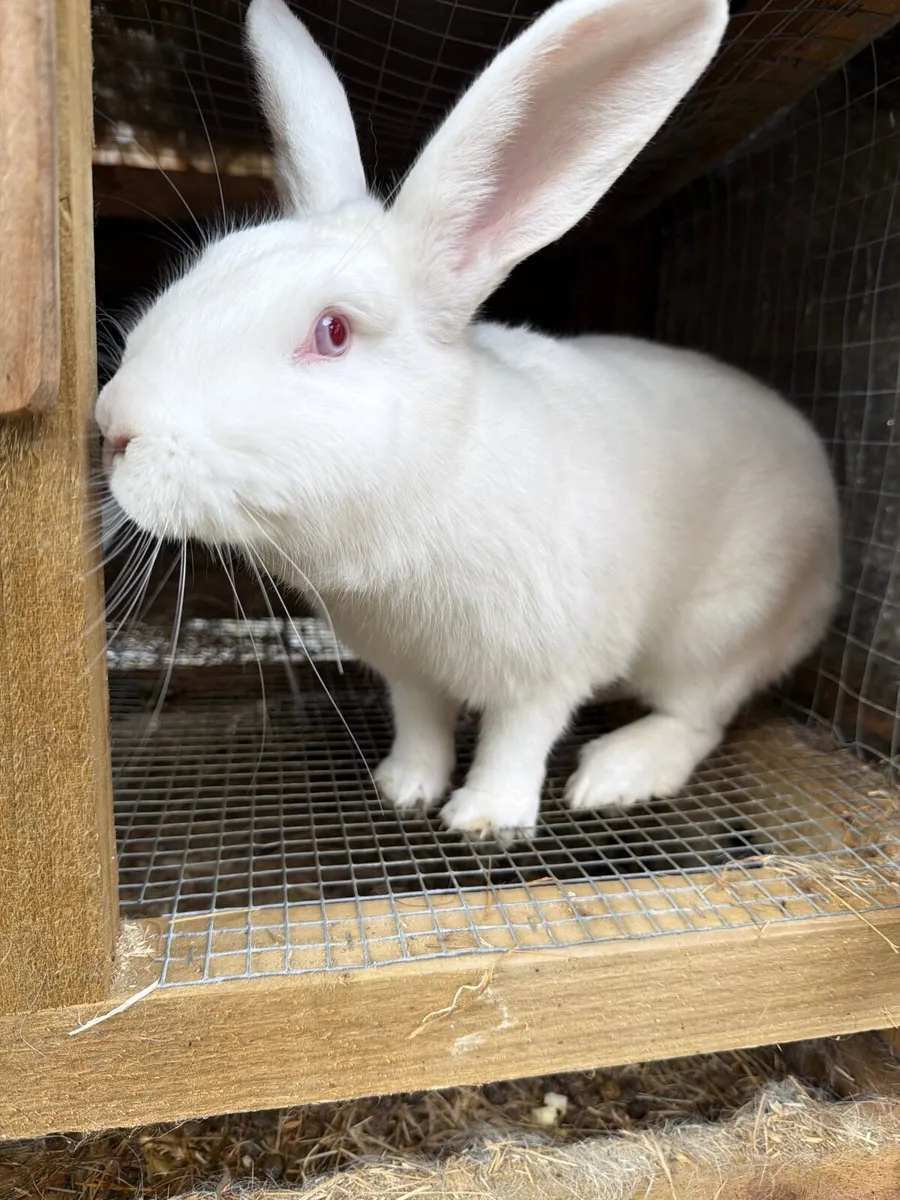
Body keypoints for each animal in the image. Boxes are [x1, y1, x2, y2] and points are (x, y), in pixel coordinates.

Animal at [95, 0, 840, 840]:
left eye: (333, 332)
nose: (113, 426)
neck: (434, 486)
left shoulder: (549, 665)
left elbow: (519, 737)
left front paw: (484, 817)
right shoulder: (406, 670)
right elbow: (421, 722)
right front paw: (403, 788)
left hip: (720, 628)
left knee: (698, 716)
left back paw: (616, 772)